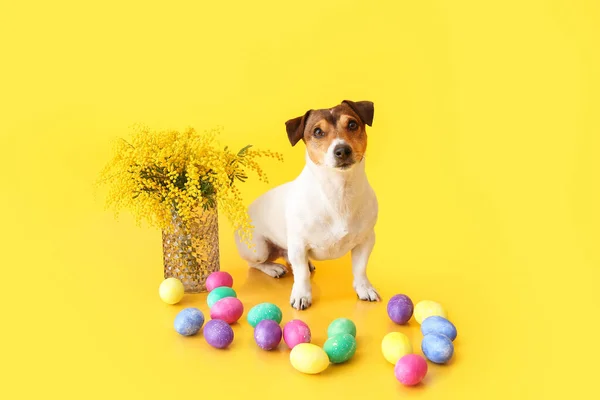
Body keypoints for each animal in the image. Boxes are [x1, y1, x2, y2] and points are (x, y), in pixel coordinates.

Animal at [236, 99, 380, 310]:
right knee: (255, 263)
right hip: (258, 250)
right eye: (318, 131)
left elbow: (360, 269)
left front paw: (364, 288)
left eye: (352, 124)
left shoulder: (366, 240)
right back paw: (273, 268)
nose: (342, 150)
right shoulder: (298, 244)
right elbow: (302, 275)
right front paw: (301, 295)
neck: (339, 191)